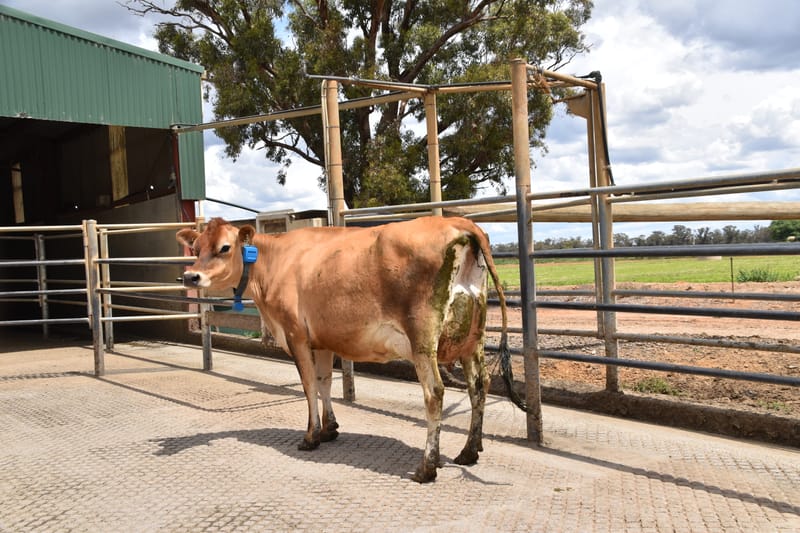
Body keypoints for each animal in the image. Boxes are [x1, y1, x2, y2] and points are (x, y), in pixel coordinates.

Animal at [177, 216, 522, 482]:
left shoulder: (296, 335)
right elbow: (324, 383)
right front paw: (329, 429)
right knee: (479, 386)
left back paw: (427, 467)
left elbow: (307, 386)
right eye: (196, 248)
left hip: (423, 339)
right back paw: (468, 452)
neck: (275, 262)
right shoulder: (322, 340)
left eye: (225, 247)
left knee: (434, 393)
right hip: (472, 338)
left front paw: (310, 436)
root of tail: (458, 222)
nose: (191, 276)